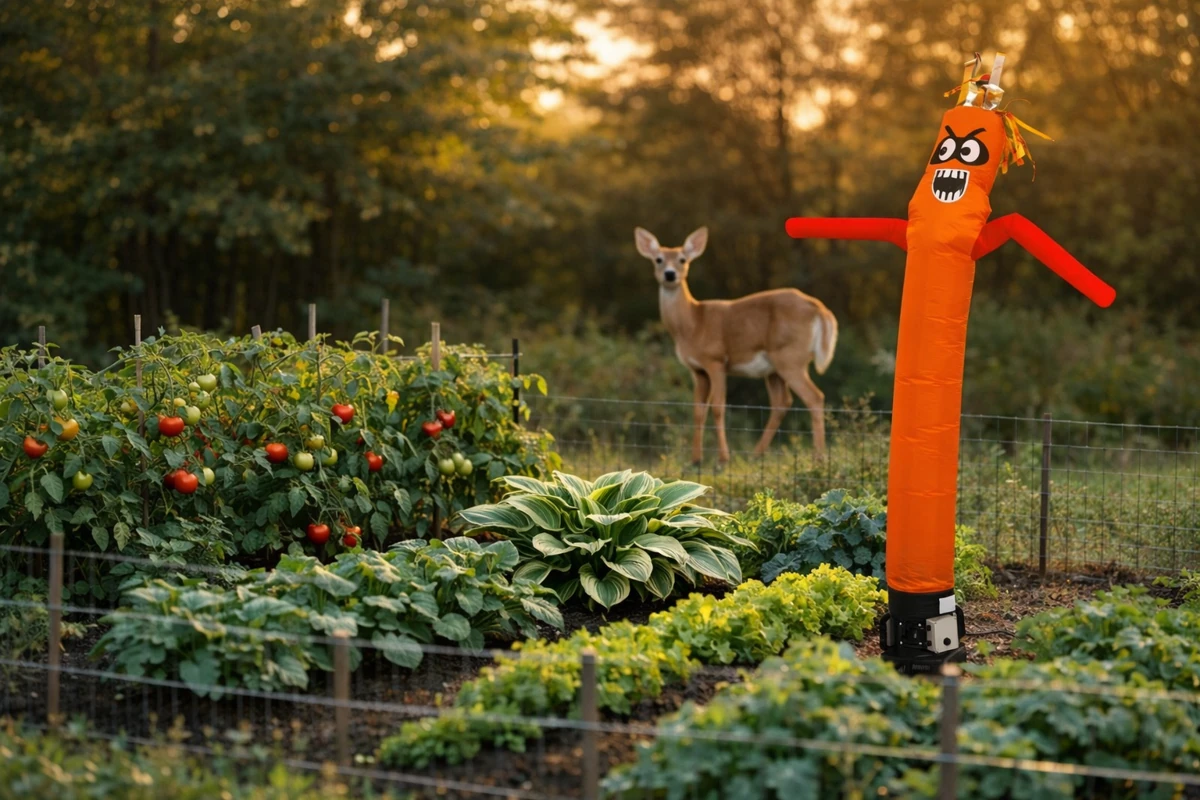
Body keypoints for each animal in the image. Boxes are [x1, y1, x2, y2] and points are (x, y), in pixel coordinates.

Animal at [635, 226, 838, 465]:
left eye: (682, 260)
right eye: (658, 259)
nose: (669, 274)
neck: (692, 323)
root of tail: (820, 308)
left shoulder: (716, 360)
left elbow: (718, 407)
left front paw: (723, 459)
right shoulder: (697, 370)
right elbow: (698, 410)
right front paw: (696, 460)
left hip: (790, 357)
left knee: (814, 397)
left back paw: (819, 458)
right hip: (774, 368)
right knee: (782, 402)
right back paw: (756, 455)